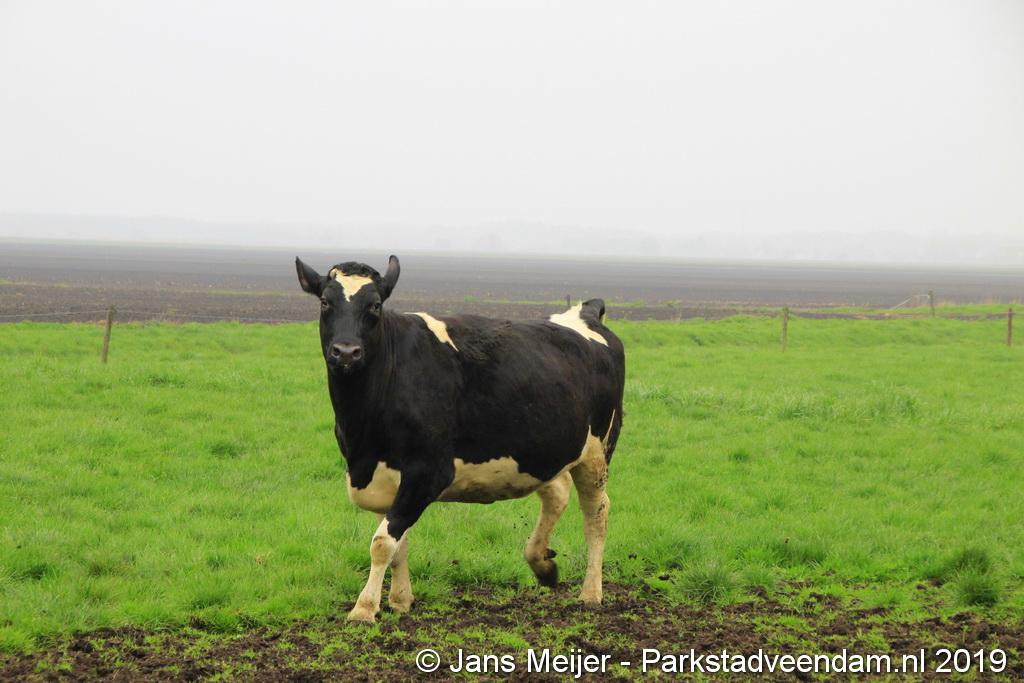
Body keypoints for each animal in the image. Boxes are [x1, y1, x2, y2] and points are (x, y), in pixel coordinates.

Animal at [295, 255, 625, 623]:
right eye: (325, 302)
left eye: (376, 305)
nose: (346, 352)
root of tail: (584, 313)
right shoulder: (383, 478)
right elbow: (398, 544)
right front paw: (400, 600)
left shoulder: (427, 472)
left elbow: (382, 543)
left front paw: (364, 608)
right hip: (541, 452)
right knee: (556, 494)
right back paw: (542, 565)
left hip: (597, 452)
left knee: (596, 513)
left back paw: (590, 592)